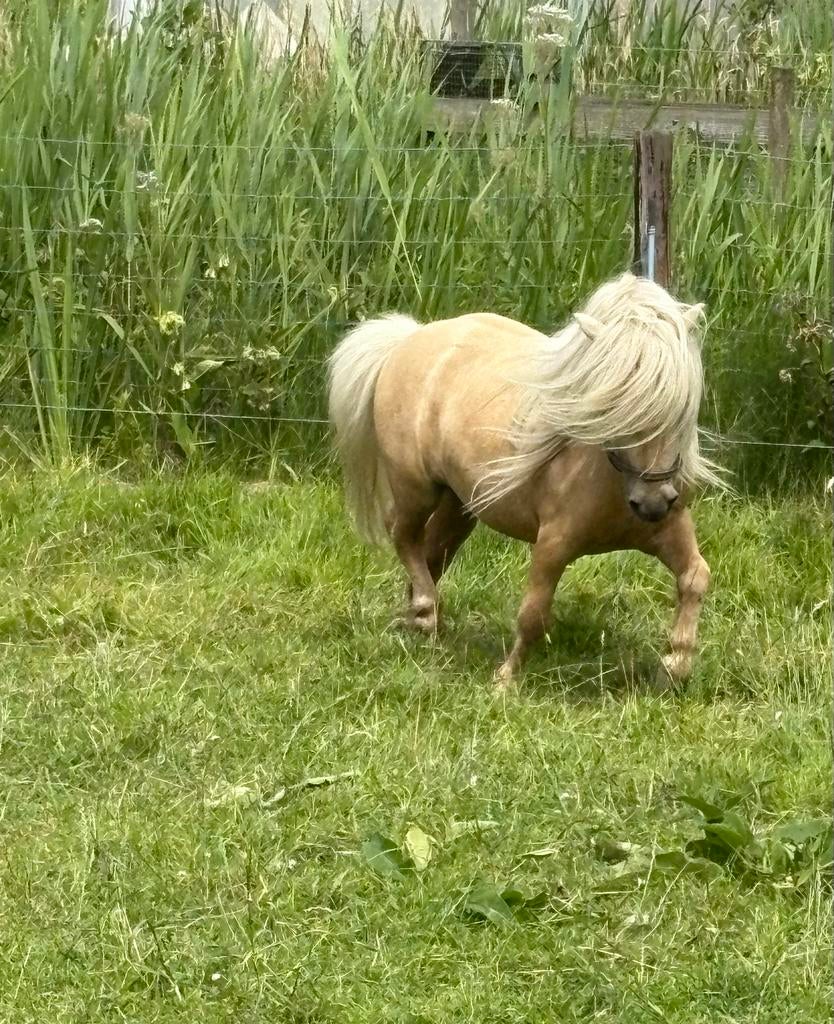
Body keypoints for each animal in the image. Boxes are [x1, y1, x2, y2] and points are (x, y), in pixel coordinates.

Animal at [327, 272, 721, 689]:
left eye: (681, 406)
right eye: (615, 404)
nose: (652, 503)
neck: (609, 479)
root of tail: (409, 338)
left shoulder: (670, 531)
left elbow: (696, 578)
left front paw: (676, 664)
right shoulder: (553, 543)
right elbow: (533, 614)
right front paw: (505, 681)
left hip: (459, 504)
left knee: (430, 551)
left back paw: (423, 624)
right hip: (415, 488)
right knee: (402, 534)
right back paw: (424, 611)